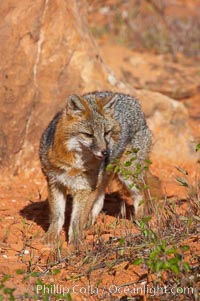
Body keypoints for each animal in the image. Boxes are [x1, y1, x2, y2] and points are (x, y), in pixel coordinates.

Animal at [39, 90, 152, 243]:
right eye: (88, 135)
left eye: (106, 133)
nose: (106, 152)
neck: (73, 164)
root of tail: (131, 99)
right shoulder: (54, 182)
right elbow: (58, 215)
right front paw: (50, 237)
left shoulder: (85, 188)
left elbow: (76, 220)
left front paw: (75, 242)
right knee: (100, 200)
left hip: (127, 174)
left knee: (141, 195)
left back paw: (142, 221)